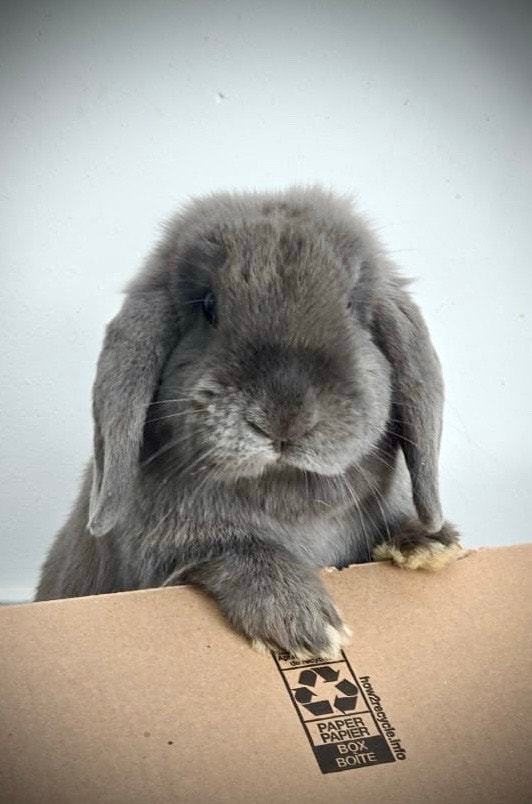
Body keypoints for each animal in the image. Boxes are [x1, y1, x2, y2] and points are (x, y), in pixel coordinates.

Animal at [35, 186, 465, 659]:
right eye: (208, 306)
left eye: (351, 305)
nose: (284, 416)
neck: (284, 490)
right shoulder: (165, 559)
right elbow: (237, 551)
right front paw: (305, 625)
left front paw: (430, 543)